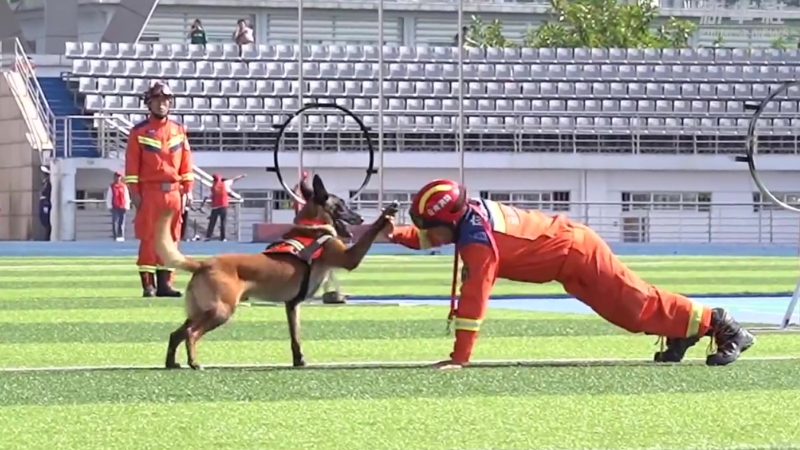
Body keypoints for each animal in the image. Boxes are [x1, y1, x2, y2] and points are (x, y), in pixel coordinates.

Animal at [155, 173, 396, 370]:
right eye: (342, 206)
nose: (361, 218)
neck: (312, 226)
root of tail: (203, 264)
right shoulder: (349, 258)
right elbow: (367, 237)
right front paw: (384, 217)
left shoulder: (292, 306)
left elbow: (295, 337)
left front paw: (299, 360)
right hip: (220, 311)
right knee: (191, 333)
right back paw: (194, 362)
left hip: (200, 311)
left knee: (175, 334)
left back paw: (171, 363)